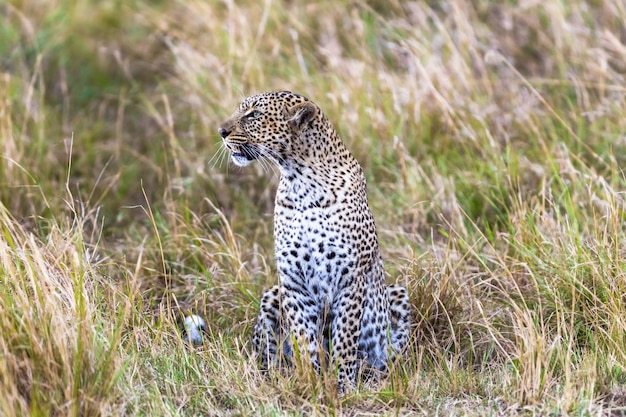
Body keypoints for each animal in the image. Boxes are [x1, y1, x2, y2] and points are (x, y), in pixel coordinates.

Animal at [218, 89, 410, 392]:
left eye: (254, 115)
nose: (221, 131)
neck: (301, 183)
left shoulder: (350, 279)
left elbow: (345, 341)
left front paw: (343, 388)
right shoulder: (293, 281)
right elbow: (304, 340)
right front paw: (312, 384)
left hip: (397, 294)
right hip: (272, 296)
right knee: (268, 356)